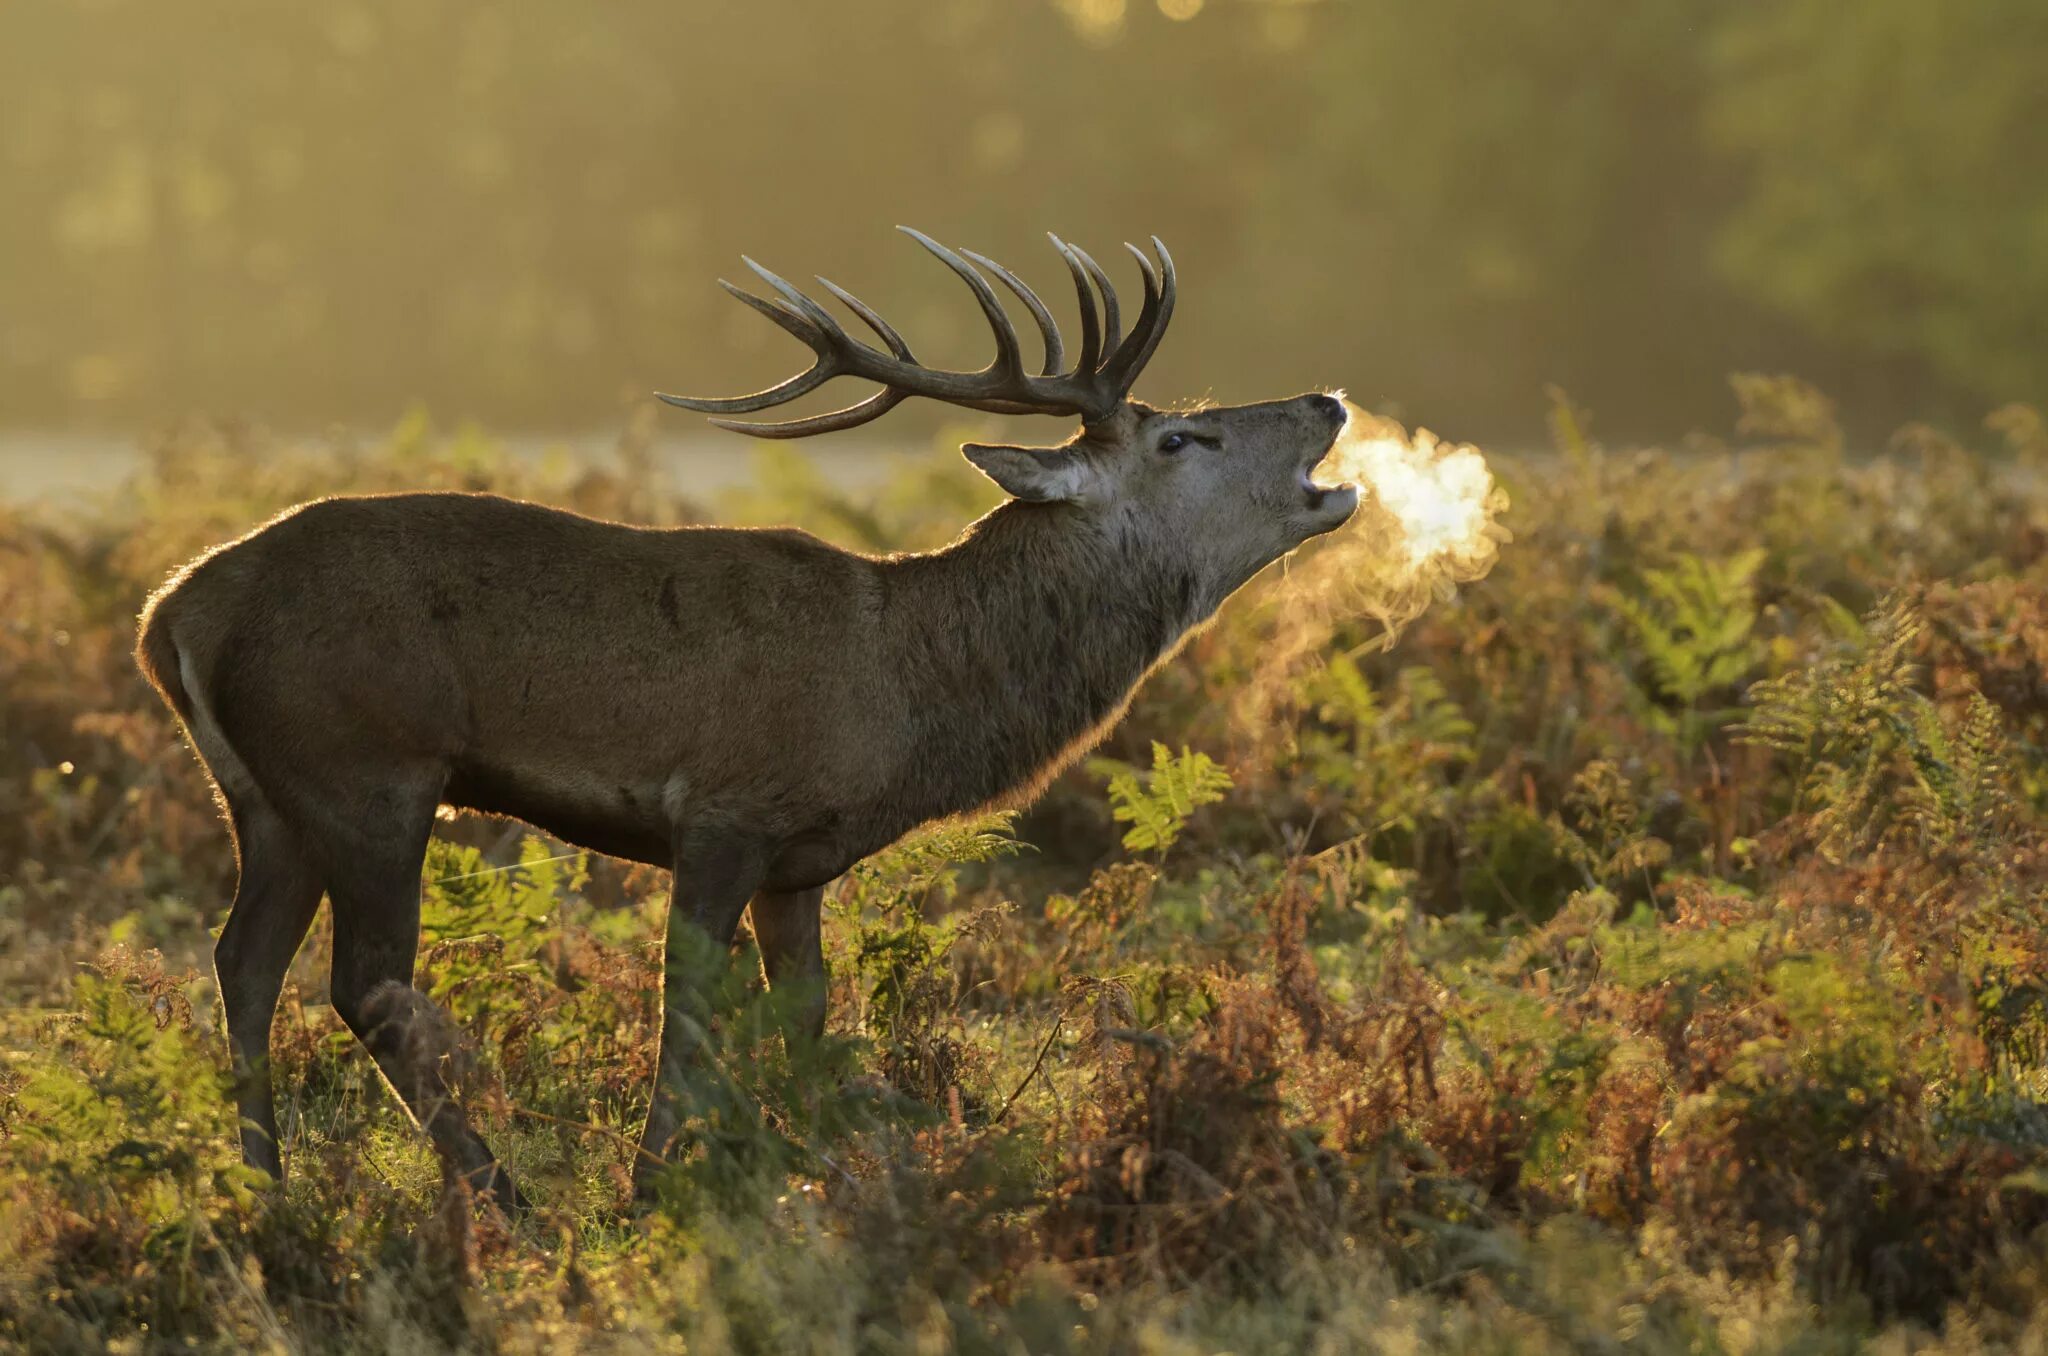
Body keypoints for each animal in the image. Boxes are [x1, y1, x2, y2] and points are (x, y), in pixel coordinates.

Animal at [140, 228, 1359, 1212]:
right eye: (1179, 441)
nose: (1327, 400)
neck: (905, 694)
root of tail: (171, 615)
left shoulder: (799, 864)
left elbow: (802, 1017)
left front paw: (799, 1175)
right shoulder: (725, 809)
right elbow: (686, 1015)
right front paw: (648, 1197)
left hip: (269, 800)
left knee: (243, 961)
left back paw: (269, 1198)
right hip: (371, 770)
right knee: (366, 983)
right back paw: (505, 1203)